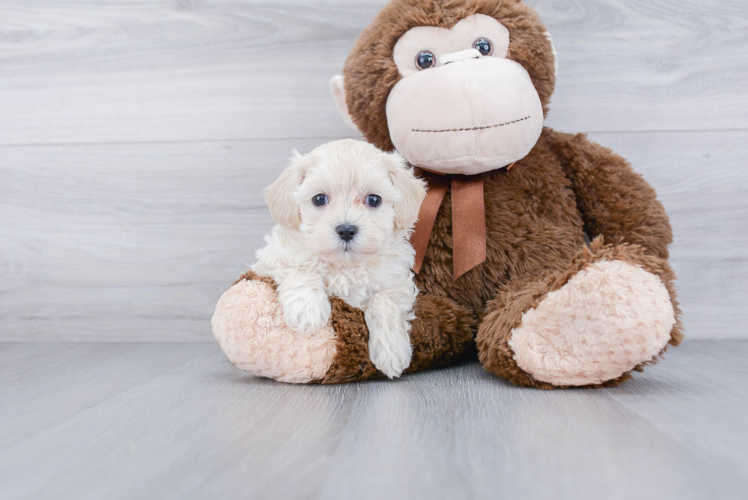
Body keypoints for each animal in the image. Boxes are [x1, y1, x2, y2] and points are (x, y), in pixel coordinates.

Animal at [253, 139, 424, 376]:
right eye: (319, 199)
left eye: (374, 199)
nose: (346, 229)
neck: (345, 265)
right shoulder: (273, 256)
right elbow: (301, 266)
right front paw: (307, 309)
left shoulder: (397, 282)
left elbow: (384, 301)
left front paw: (391, 350)